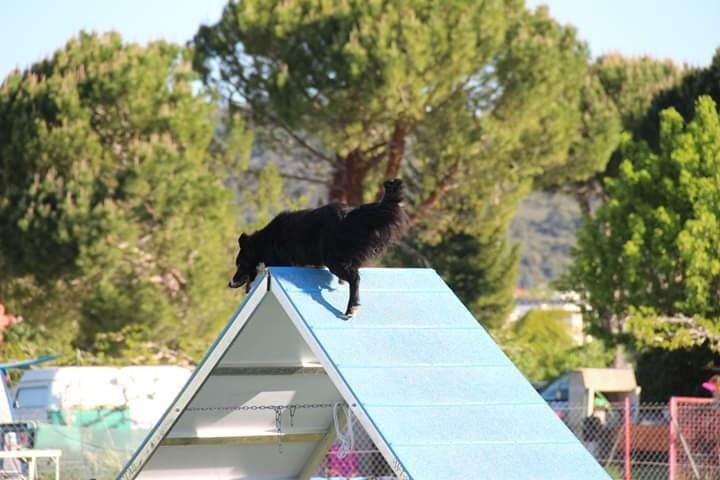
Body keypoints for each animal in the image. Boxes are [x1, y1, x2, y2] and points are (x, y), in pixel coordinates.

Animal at [228, 178, 408, 316]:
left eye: (240, 263)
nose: (230, 283)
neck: (264, 242)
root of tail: (349, 215)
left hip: (333, 259)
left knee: (355, 278)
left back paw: (350, 308)